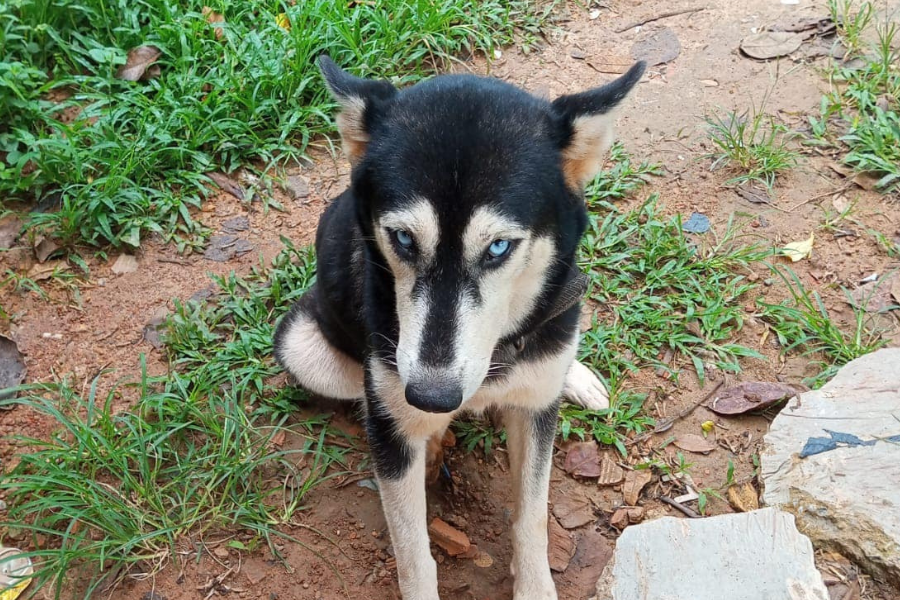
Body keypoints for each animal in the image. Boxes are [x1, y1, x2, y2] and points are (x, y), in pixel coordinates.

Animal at [276, 56, 648, 600]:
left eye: (498, 248)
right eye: (403, 239)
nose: (431, 397)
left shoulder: (534, 413)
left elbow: (532, 516)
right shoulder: (392, 437)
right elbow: (413, 553)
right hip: (303, 345)